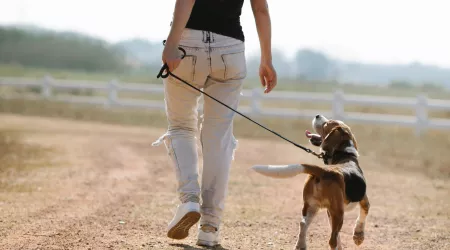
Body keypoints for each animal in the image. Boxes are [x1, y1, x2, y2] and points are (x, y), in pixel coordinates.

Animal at [251, 115, 370, 250]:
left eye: (326, 124)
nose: (317, 115)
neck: (345, 154)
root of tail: (324, 171)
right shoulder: (364, 200)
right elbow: (364, 213)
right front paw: (358, 236)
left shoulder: (329, 212)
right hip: (338, 213)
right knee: (332, 239)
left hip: (312, 206)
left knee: (303, 224)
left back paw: (301, 245)